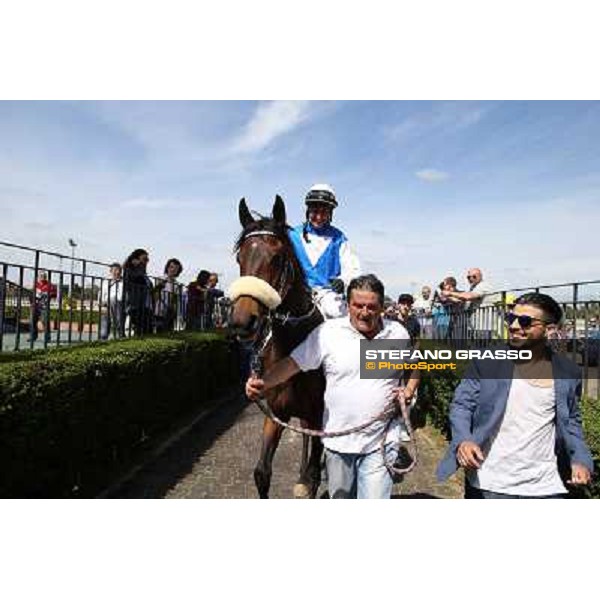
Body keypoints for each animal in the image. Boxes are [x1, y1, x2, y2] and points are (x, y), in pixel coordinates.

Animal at [230, 195, 326, 500]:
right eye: (239, 257)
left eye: (277, 257)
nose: (242, 321)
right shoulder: (276, 413)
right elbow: (262, 473)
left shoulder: (320, 415)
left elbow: (315, 473)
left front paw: (309, 480)